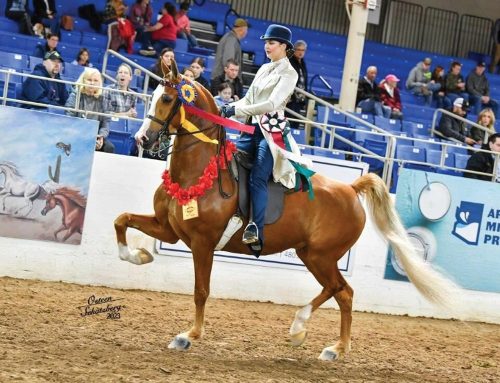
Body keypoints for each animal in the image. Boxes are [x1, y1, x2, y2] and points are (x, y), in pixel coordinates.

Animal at [113, 61, 460, 362]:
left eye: (167, 98)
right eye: (153, 96)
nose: (142, 138)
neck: (199, 171)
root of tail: (350, 190)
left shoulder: (202, 243)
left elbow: (201, 290)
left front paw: (188, 336)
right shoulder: (168, 229)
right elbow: (121, 220)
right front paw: (139, 256)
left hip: (321, 256)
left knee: (341, 290)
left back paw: (308, 333)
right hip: (311, 254)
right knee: (341, 292)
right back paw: (327, 344)